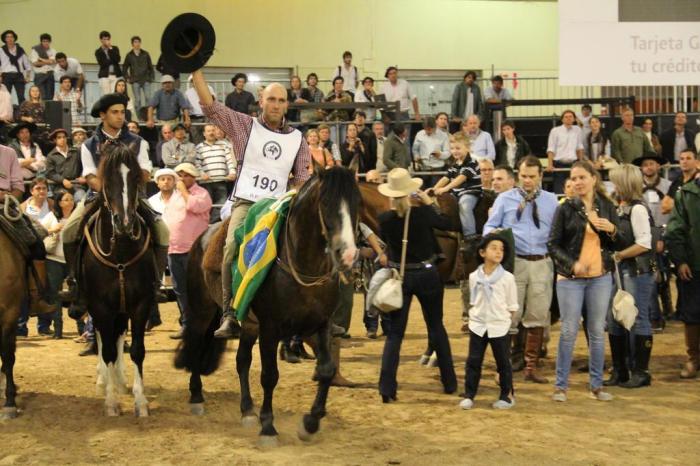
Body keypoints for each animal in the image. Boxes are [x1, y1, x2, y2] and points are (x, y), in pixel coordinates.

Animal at [81, 141, 155, 416]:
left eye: (134, 177)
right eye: (109, 178)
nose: (124, 222)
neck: (120, 252)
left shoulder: (141, 304)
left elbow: (137, 350)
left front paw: (140, 401)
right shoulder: (100, 306)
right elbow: (108, 350)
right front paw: (111, 402)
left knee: (119, 335)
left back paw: (121, 381)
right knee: (105, 341)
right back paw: (104, 381)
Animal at [178, 167, 360, 444]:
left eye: (357, 202)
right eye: (326, 202)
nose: (348, 254)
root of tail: (201, 238)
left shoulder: (320, 325)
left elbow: (327, 369)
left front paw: (310, 423)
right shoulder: (270, 330)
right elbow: (270, 375)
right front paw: (268, 427)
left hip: (248, 325)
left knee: (241, 361)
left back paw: (247, 411)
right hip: (202, 313)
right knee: (197, 346)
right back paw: (197, 397)